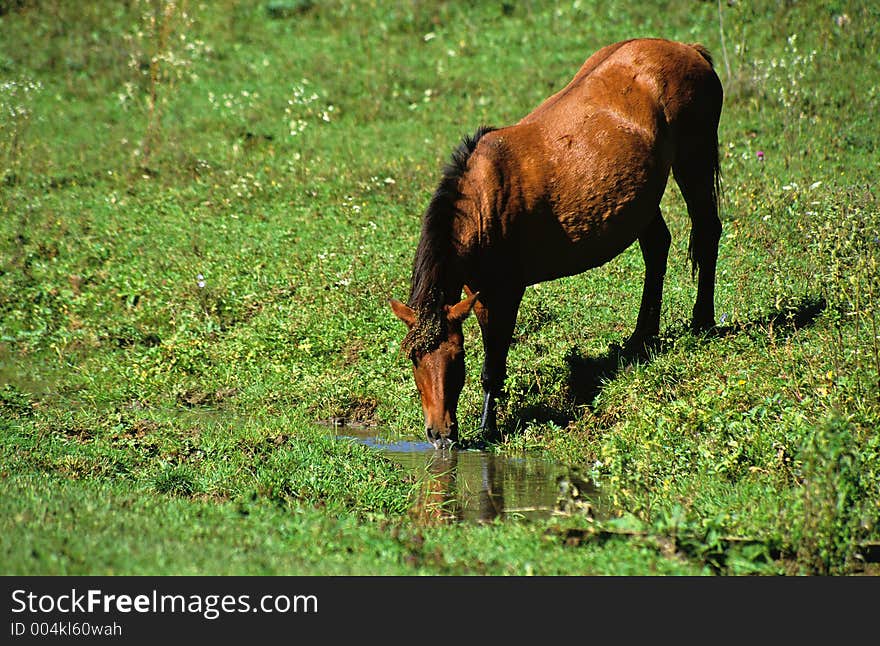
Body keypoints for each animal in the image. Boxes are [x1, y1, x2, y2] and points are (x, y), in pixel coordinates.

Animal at [390, 38, 720, 448]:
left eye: (457, 357)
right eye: (413, 358)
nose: (439, 434)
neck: (484, 202)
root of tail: (688, 49)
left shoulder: (506, 291)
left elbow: (493, 365)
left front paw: (488, 429)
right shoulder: (476, 293)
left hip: (695, 160)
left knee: (708, 232)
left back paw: (702, 321)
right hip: (645, 198)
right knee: (657, 248)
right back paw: (641, 338)